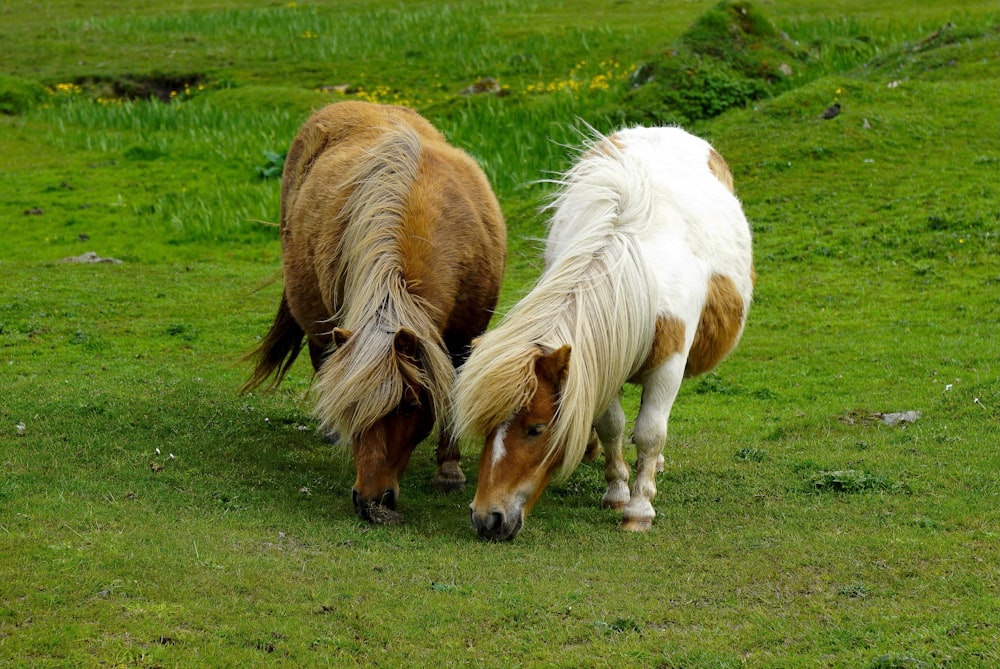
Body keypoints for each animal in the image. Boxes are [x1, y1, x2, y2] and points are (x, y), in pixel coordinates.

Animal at [452, 126, 752, 544]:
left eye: (537, 429)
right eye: (489, 426)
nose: (487, 519)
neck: (635, 276)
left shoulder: (669, 364)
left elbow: (650, 433)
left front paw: (639, 508)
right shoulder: (603, 358)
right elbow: (612, 426)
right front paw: (616, 492)